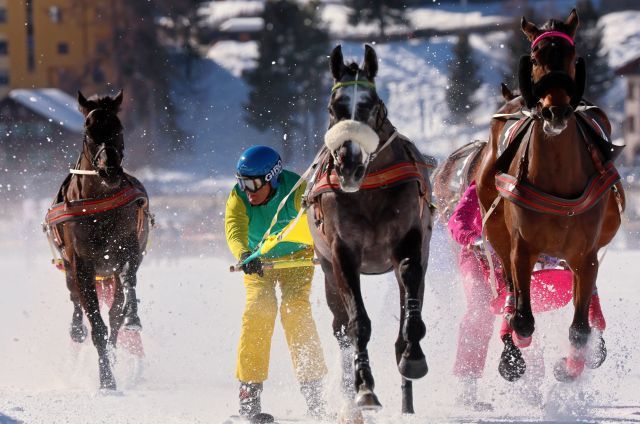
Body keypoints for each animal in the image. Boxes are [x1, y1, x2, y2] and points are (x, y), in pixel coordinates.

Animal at [44, 90, 151, 390]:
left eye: (119, 127)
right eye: (88, 130)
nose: (109, 169)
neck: (99, 201)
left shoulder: (128, 247)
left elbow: (126, 284)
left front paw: (132, 316)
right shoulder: (82, 263)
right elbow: (95, 320)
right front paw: (106, 381)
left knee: (116, 312)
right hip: (70, 268)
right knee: (76, 300)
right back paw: (78, 330)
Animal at [306, 45, 436, 414]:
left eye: (371, 104)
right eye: (333, 107)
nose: (349, 164)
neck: (370, 188)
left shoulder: (410, 238)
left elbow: (410, 297)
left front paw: (412, 356)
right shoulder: (342, 253)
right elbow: (356, 324)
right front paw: (364, 388)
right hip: (327, 271)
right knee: (340, 327)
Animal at [478, 9, 624, 380]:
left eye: (572, 57)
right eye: (535, 58)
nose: (554, 111)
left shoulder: (585, 254)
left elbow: (579, 328)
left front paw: (572, 366)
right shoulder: (522, 247)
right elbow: (523, 319)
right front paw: (515, 349)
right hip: (496, 225)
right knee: (511, 292)